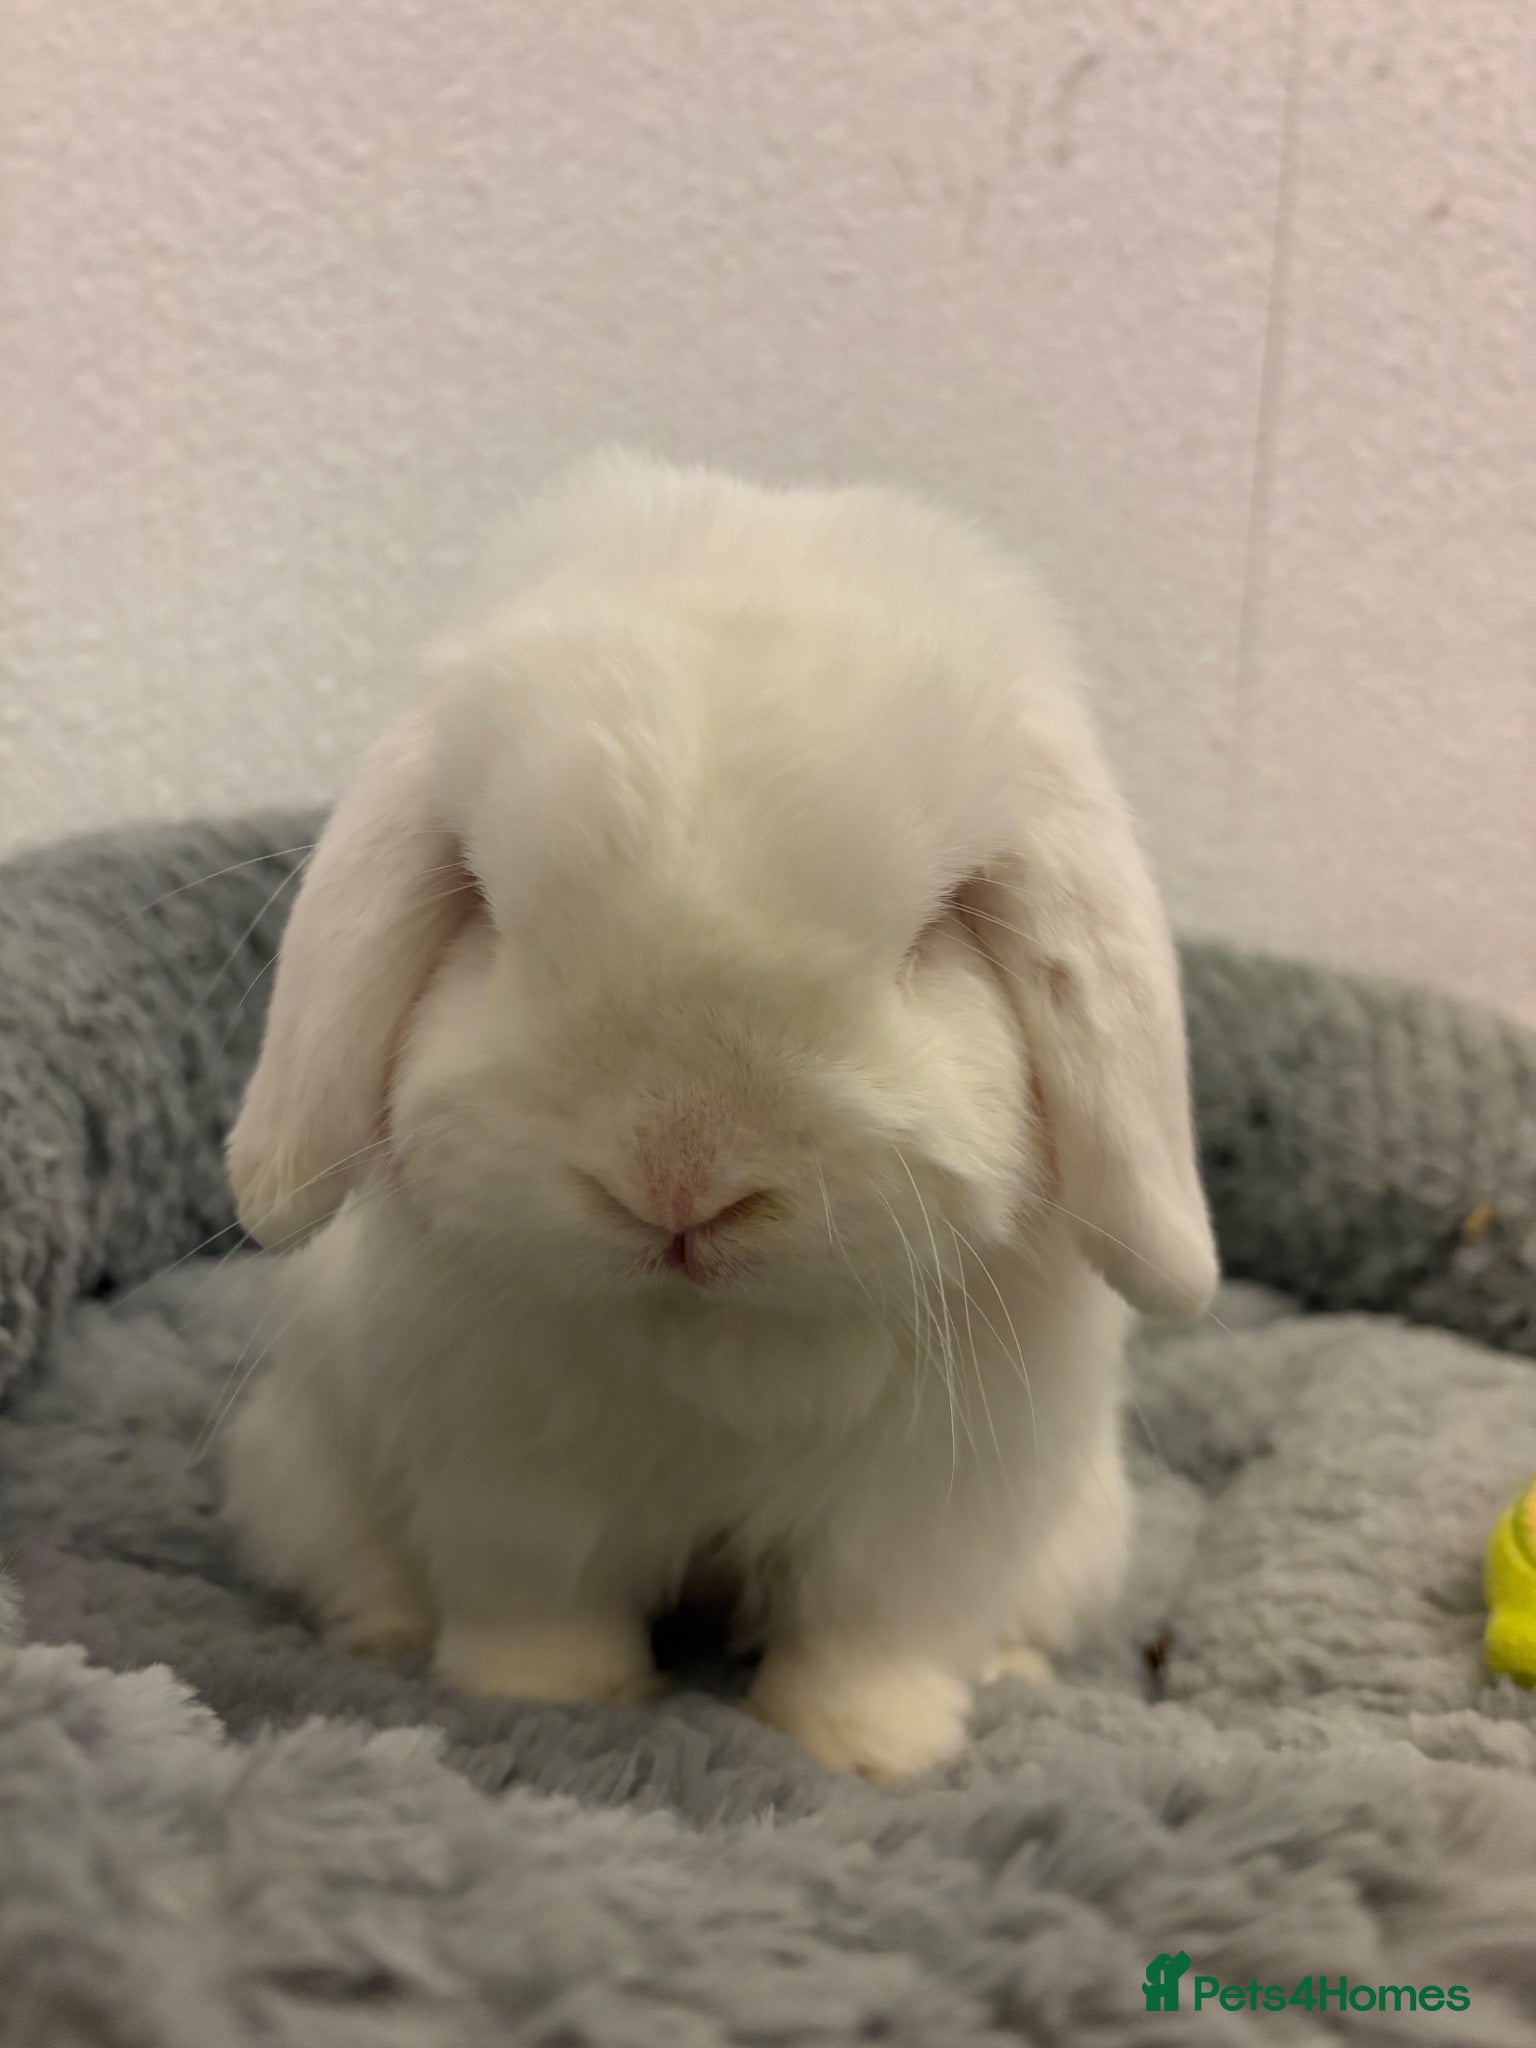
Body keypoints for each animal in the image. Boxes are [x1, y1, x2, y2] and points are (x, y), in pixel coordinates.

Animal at [222, 451, 1217, 1780]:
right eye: (485, 902)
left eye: (936, 927)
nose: (677, 1183)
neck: (717, 1338)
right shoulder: (513, 1472)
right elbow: (540, 1598)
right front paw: (551, 1697)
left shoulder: (925, 1507)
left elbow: (876, 1629)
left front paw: (864, 1749)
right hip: (306, 1477)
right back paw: (384, 1633)